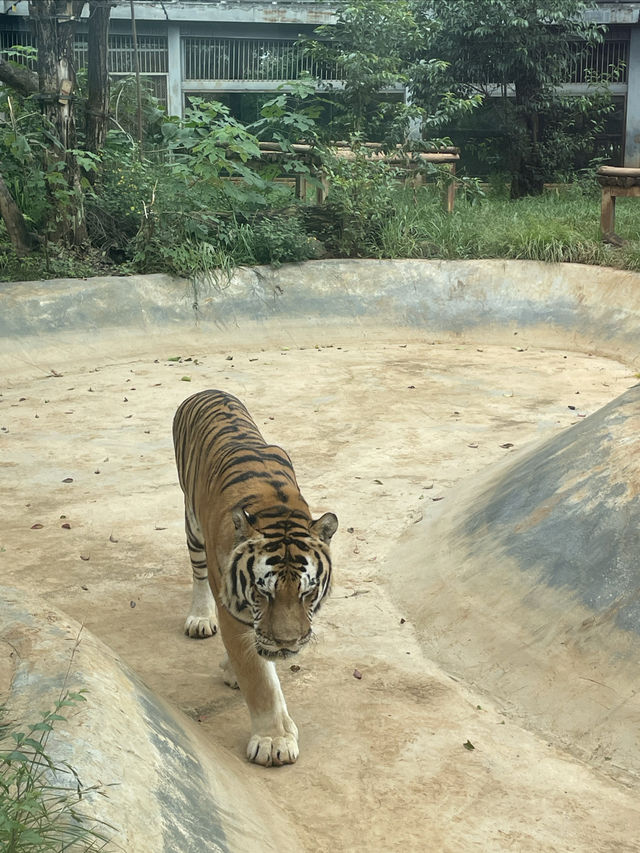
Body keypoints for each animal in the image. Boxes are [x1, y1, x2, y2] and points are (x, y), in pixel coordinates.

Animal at [170, 390, 340, 768]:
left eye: (307, 593)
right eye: (264, 593)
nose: (289, 644)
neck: (276, 508)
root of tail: (208, 390)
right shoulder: (233, 608)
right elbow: (259, 678)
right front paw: (274, 741)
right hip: (193, 527)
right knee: (198, 575)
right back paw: (200, 618)